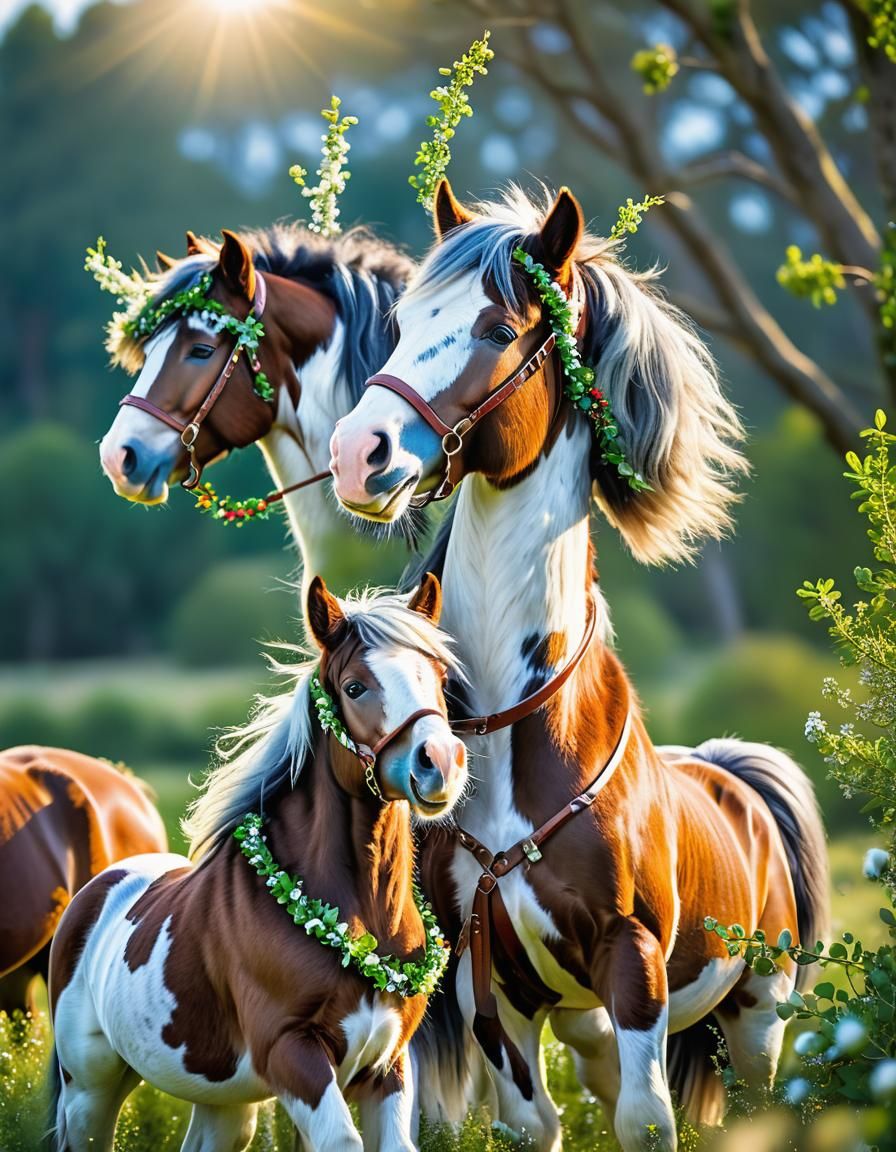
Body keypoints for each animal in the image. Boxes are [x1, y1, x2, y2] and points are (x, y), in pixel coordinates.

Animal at [49, 573, 470, 1152]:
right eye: (355, 687)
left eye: (440, 677)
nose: (441, 765)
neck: (356, 922)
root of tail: (94, 894)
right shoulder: (294, 1055)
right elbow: (342, 1141)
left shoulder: (386, 1069)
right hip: (90, 1087)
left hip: (223, 1102)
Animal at [327, 181, 829, 1151]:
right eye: (402, 320)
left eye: (495, 328)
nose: (355, 452)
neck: (516, 736)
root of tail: (734, 776)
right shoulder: (492, 987)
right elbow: (535, 1120)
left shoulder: (632, 966)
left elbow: (644, 1122)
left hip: (759, 1015)